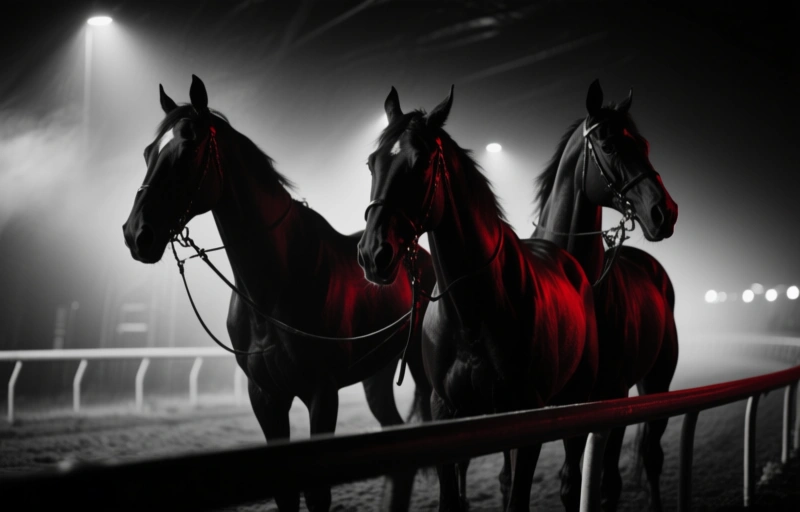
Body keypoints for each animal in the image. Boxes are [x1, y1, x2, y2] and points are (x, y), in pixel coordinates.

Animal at [121, 75, 435, 512]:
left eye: (186, 147)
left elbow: (317, 494)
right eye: (148, 151)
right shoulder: (266, 397)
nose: (137, 234)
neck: (274, 290)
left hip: (421, 370)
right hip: (378, 374)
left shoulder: (322, 394)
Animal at [357, 85, 599, 512]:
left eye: (420, 162)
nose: (373, 254)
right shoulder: (447, 413)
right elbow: (452, 497)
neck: (473, 316)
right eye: (372, 163)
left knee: (570, 480)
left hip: (577, 397)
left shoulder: (528, 416)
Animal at [531, 79, 679, 511]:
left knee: (650, 456)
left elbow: (590, 483)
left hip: (654, 384)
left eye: (644, 144)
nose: (665, 211)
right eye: (610, 146)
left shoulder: (601, 400)